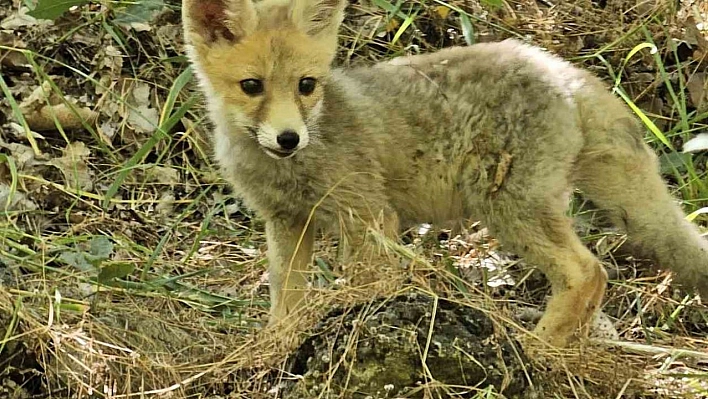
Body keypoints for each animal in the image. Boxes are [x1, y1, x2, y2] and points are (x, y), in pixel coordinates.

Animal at [183, 0, 708, 346]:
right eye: (252, 86)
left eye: (306, 85)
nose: (289, 138)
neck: (289, 170)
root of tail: (559, 67)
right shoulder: (287, 221)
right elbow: (285, 303)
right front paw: (274, 350)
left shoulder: (367, 217)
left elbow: (366, 289)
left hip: (509, 208)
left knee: (588, 273)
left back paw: (536, 351)